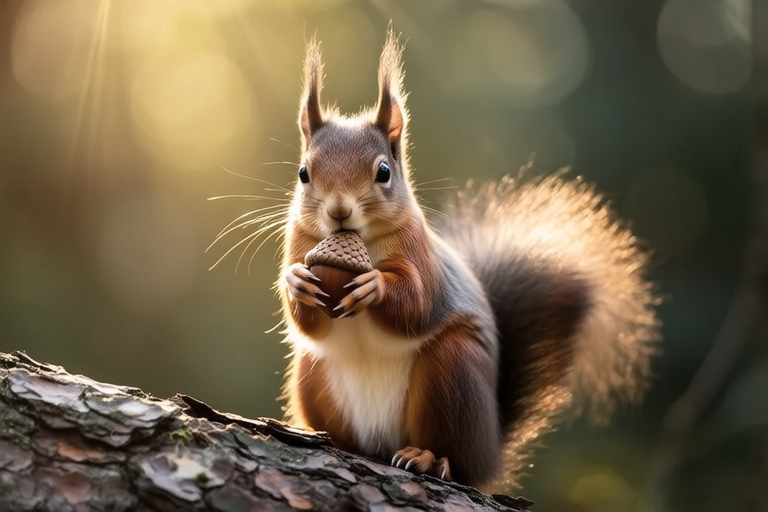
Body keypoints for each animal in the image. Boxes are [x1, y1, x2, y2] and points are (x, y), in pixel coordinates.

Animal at [276, 30, 660, 489]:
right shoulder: (299, 241)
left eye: (384, 172)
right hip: (312, 375)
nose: (338, 211)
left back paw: (427, 457)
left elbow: (417, 303)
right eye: (303, 173)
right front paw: (295, 281)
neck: (361, 239)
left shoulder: (422, 256)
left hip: (453, 376)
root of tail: (491, 452)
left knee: (455, 458)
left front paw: (375, 286)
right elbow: (307, 322)